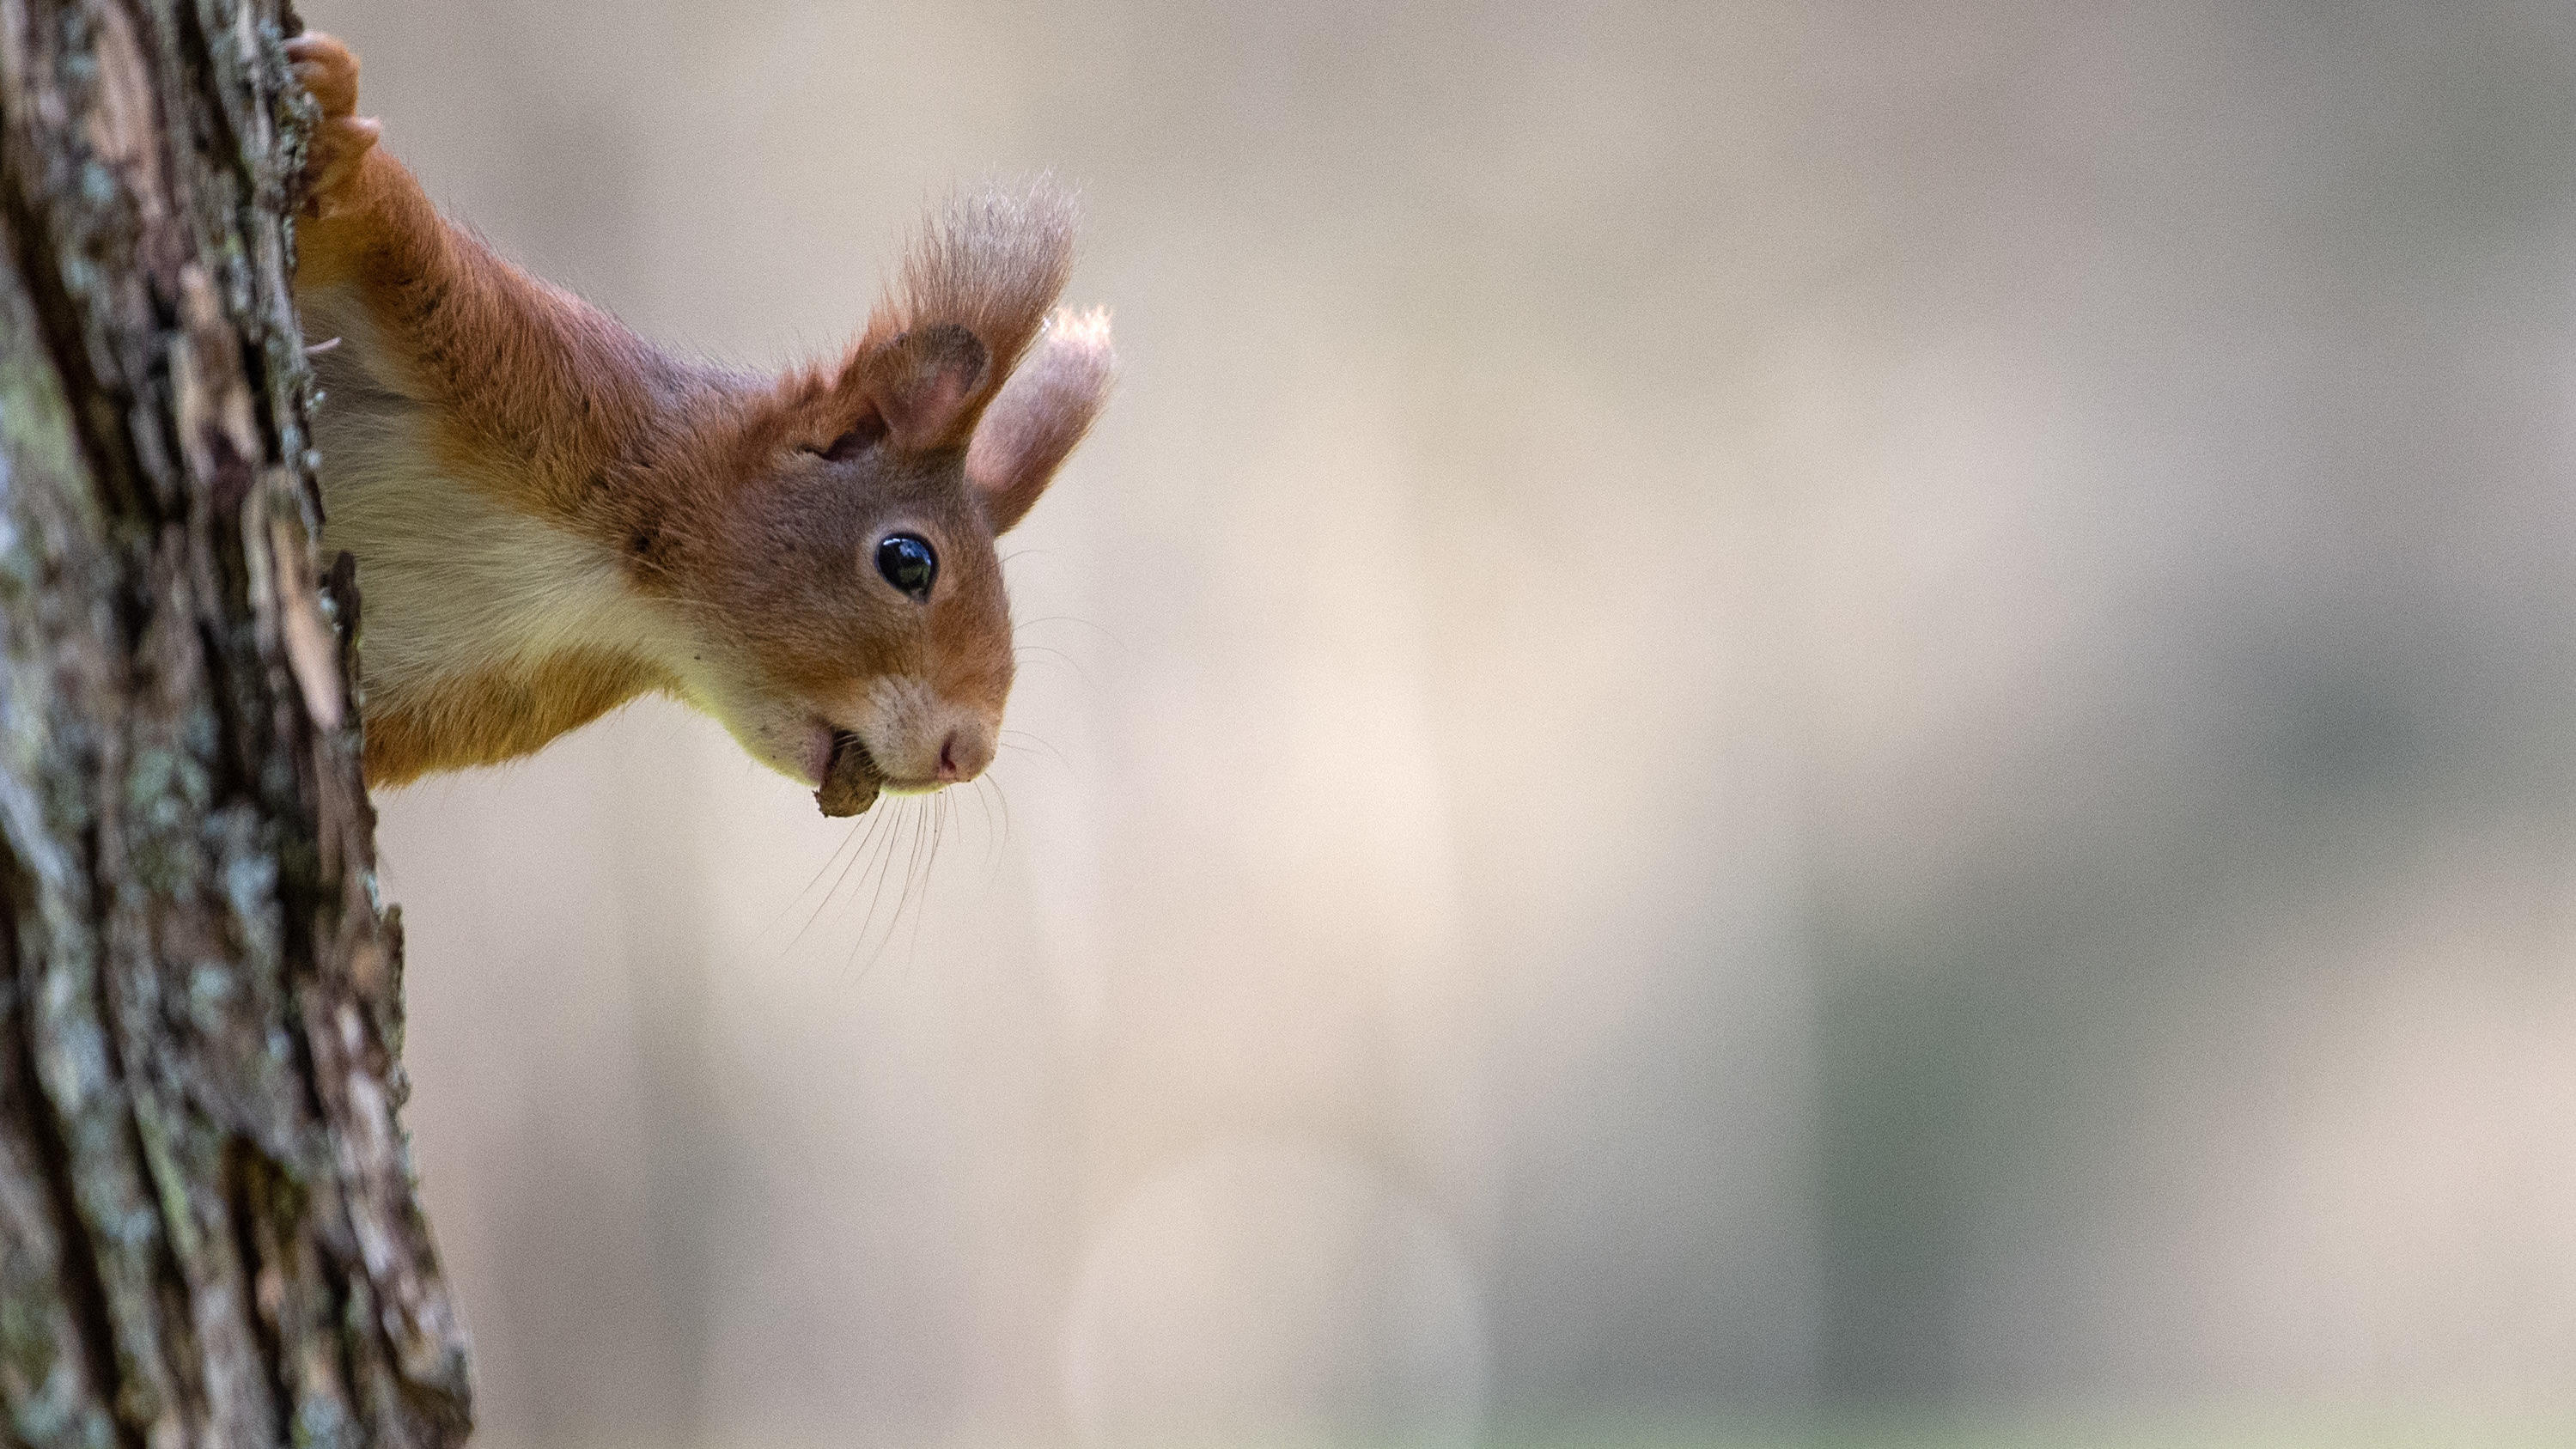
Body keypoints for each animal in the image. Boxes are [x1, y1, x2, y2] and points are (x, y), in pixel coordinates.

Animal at [287, 31, 1112, 818]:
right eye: (908, 561)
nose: (966, 754)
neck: (616, 588)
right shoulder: (512, 352)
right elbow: (376, 226)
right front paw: (335, 127)